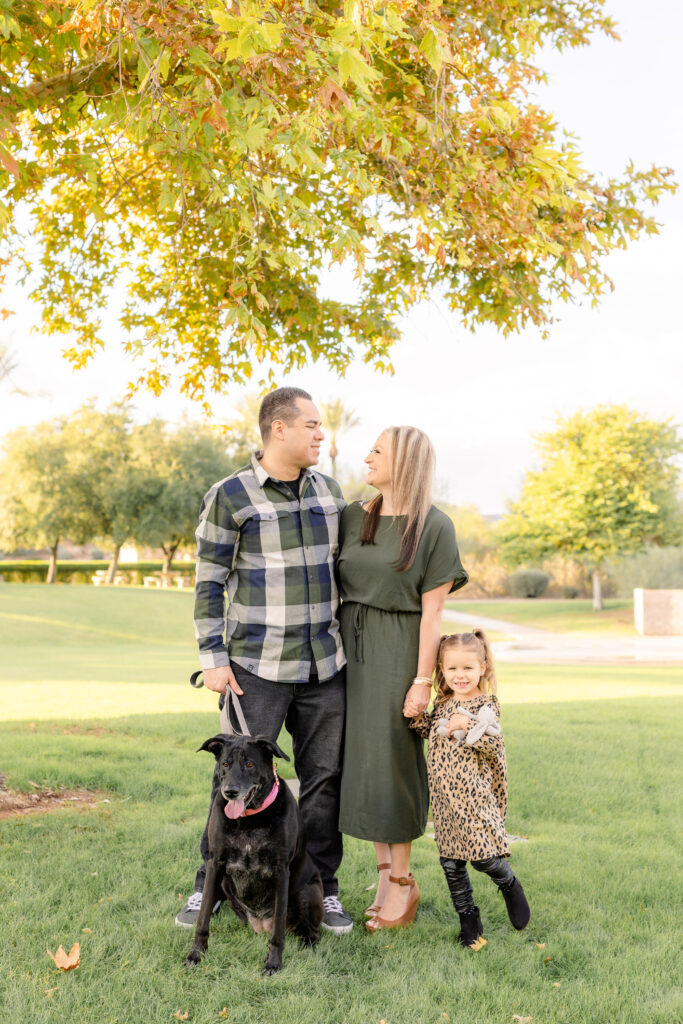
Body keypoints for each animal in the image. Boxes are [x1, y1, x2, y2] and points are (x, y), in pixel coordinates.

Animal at [184, 733, 323, 970]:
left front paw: (274, 963)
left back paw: (308, 948)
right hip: (225, 884)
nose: (230, 791)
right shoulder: (215, 864)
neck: (248, 819)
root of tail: (259, 924)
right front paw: (196, 954)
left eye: (250, 764)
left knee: (311, 933)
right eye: (225, 764)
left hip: (309, 892)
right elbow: (203, 919)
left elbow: (278, 929)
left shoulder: (281, 870)